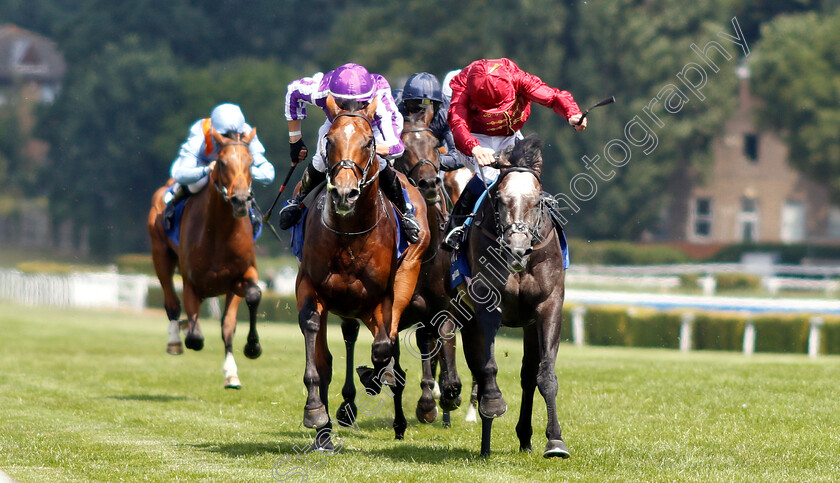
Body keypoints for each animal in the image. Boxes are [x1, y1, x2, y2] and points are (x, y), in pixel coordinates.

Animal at [146, 127, 260, 390]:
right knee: (171, 303)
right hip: (160, 255)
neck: (220, 233)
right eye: (222, 162)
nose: (241, 200)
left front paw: (246, 354)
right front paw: (187, 330)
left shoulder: (240, 276)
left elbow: (241, 310)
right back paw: (175, 339)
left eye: (251, 162)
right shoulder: (192, 283)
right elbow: (195, 337)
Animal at [294, 96, 426, 452]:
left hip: (406, 277)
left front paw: (372, 379)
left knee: (389, 345)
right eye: (329, 141)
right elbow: (318, 352)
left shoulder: (382, 297)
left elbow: (382, 349)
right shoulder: (309, 286)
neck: (349, 234)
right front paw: (317, 415)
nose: (344, 193)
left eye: (368, 142)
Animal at [452, 135, 572, 458]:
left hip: (529, 325)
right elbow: (488, 366)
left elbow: (546, 374)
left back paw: (525, 439)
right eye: (500, 199)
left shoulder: (548, 305)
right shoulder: (487, 304)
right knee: (479, 369)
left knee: (528, 374)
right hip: (465, 318)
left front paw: (555, 441)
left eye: (536, 201)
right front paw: (493, 403)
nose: (518, 250)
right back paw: (485, 442)